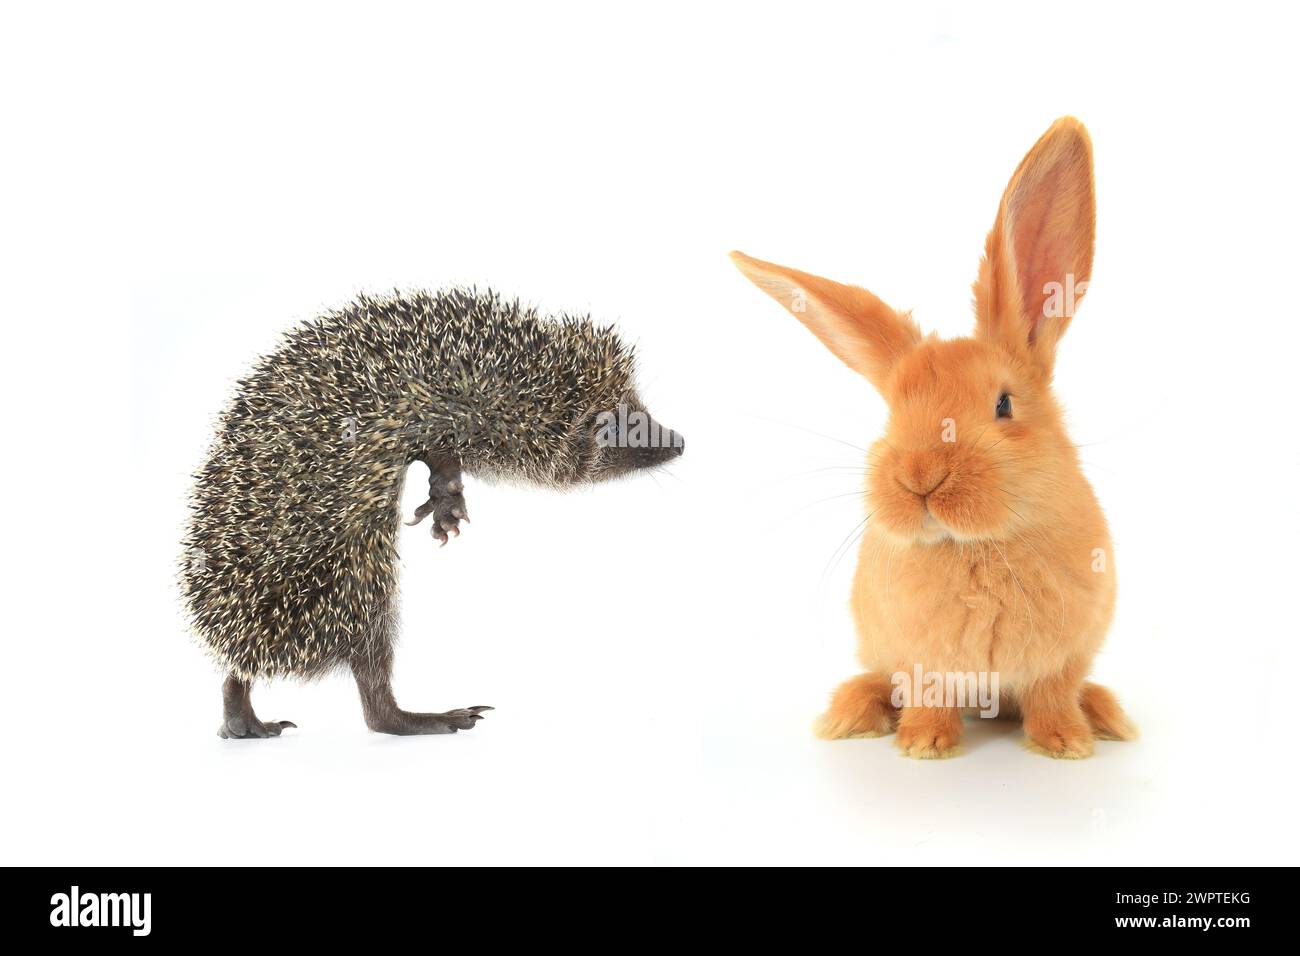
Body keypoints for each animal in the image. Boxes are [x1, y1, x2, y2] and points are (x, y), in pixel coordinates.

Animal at [738, 117, 1133, 764]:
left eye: (1003, 404)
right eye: (893, 412)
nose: (919, 476)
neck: (976, 546)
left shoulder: (1062, 661)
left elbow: (1051, 695)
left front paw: (1066, 744)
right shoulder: (921, 662)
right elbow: (928, 694)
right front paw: (924, 745)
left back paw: (1104, 715)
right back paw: (851, 714)